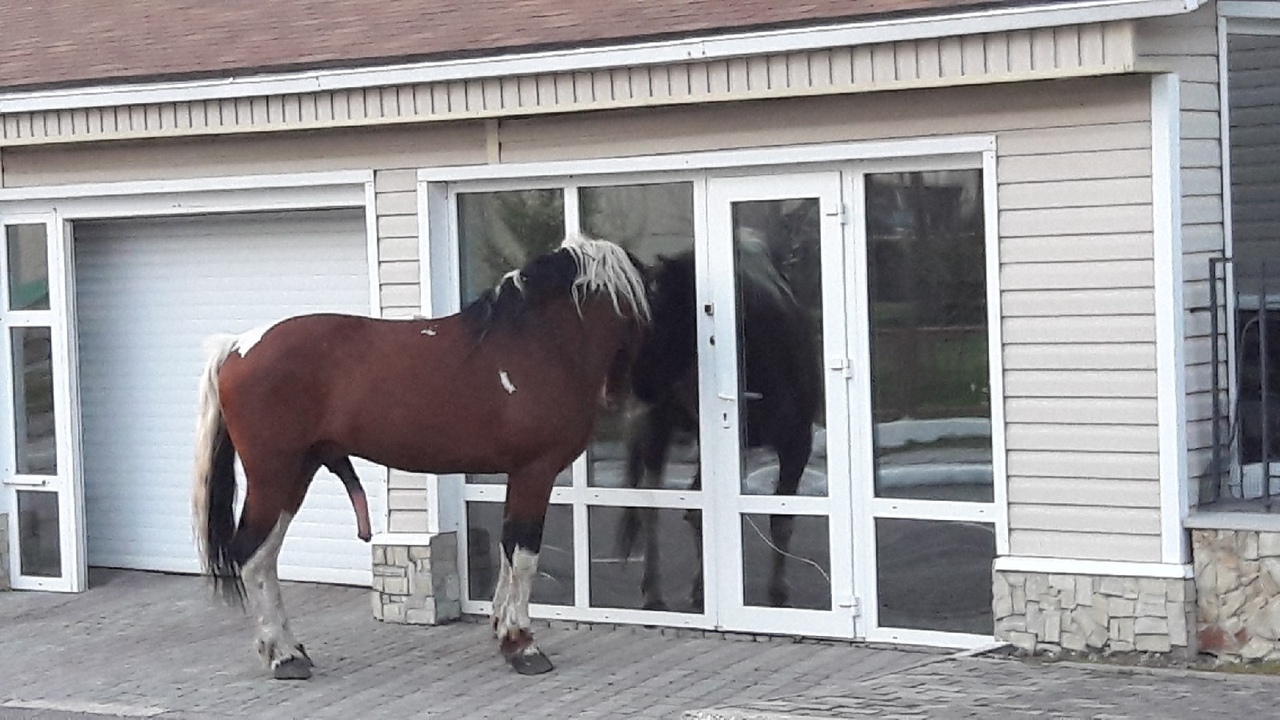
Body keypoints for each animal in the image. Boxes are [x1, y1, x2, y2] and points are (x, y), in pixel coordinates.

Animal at [189, 237, 650, 676]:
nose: (628, 395)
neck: (532, 345)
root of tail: (236, 347)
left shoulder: (518, 476)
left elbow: (508, 552)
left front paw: (504, 631)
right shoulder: (534, 473)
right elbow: (523, 556)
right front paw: (522, 645)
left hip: (296, 474)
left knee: (265, 556)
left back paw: (290, 649)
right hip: (274, 475)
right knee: (251, 554)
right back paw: (283, 657)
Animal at [616, 237, 819, 609]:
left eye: (662, 315)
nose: (634, 388)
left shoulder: (797, 437)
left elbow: (781, 516)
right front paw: (776, 590)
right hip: (657, 429)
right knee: (652, 505)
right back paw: (654, 591)